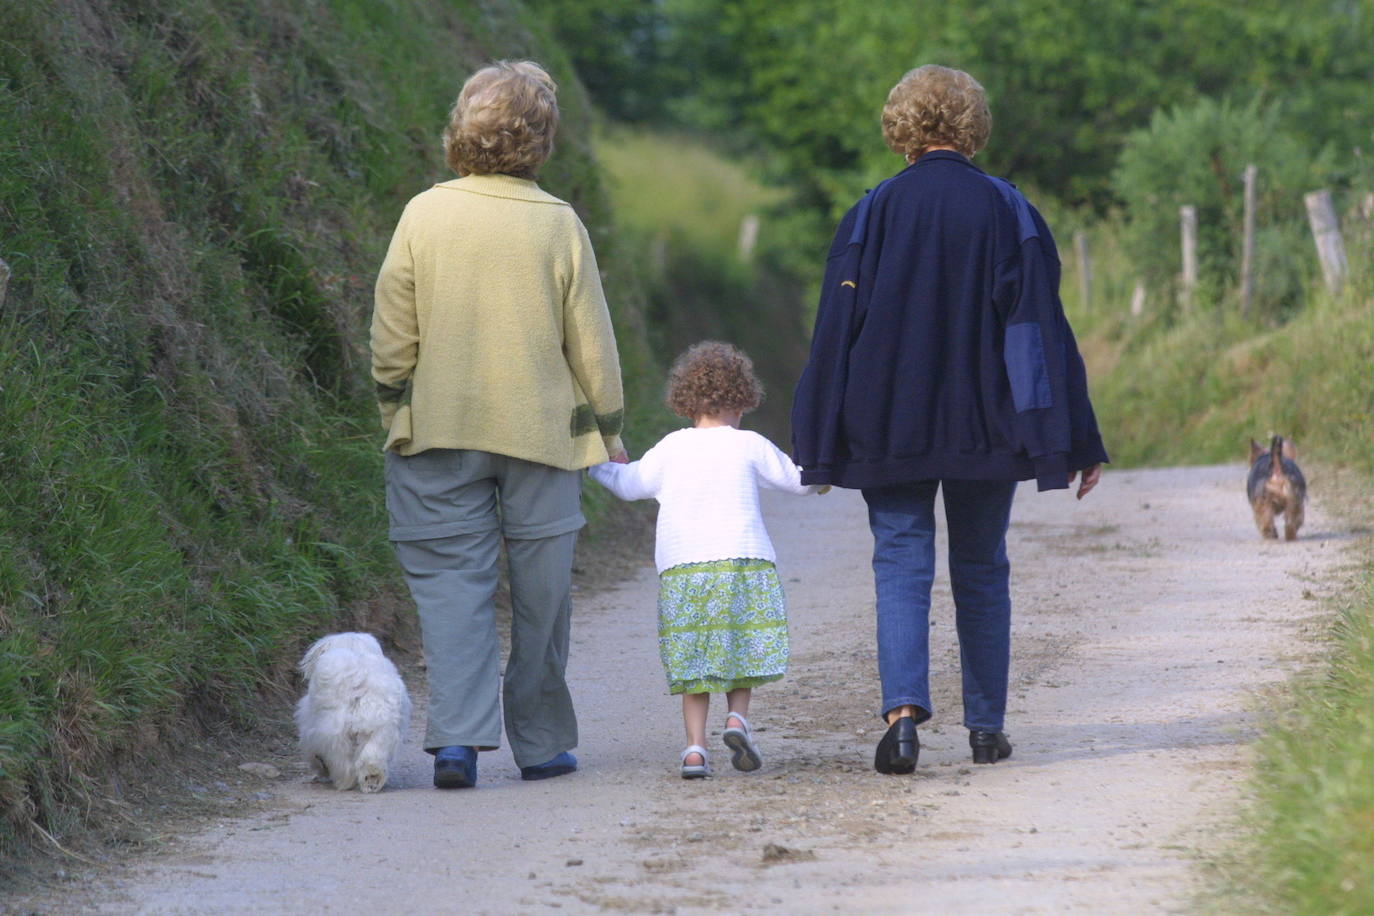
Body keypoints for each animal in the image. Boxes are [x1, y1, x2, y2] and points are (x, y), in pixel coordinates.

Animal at [292, 634, 409, 791]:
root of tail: (361, 680)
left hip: (334, 729)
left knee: (340, 757)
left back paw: (344, 781)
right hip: (382, 727)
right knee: (372, 755)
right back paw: (372, 777)